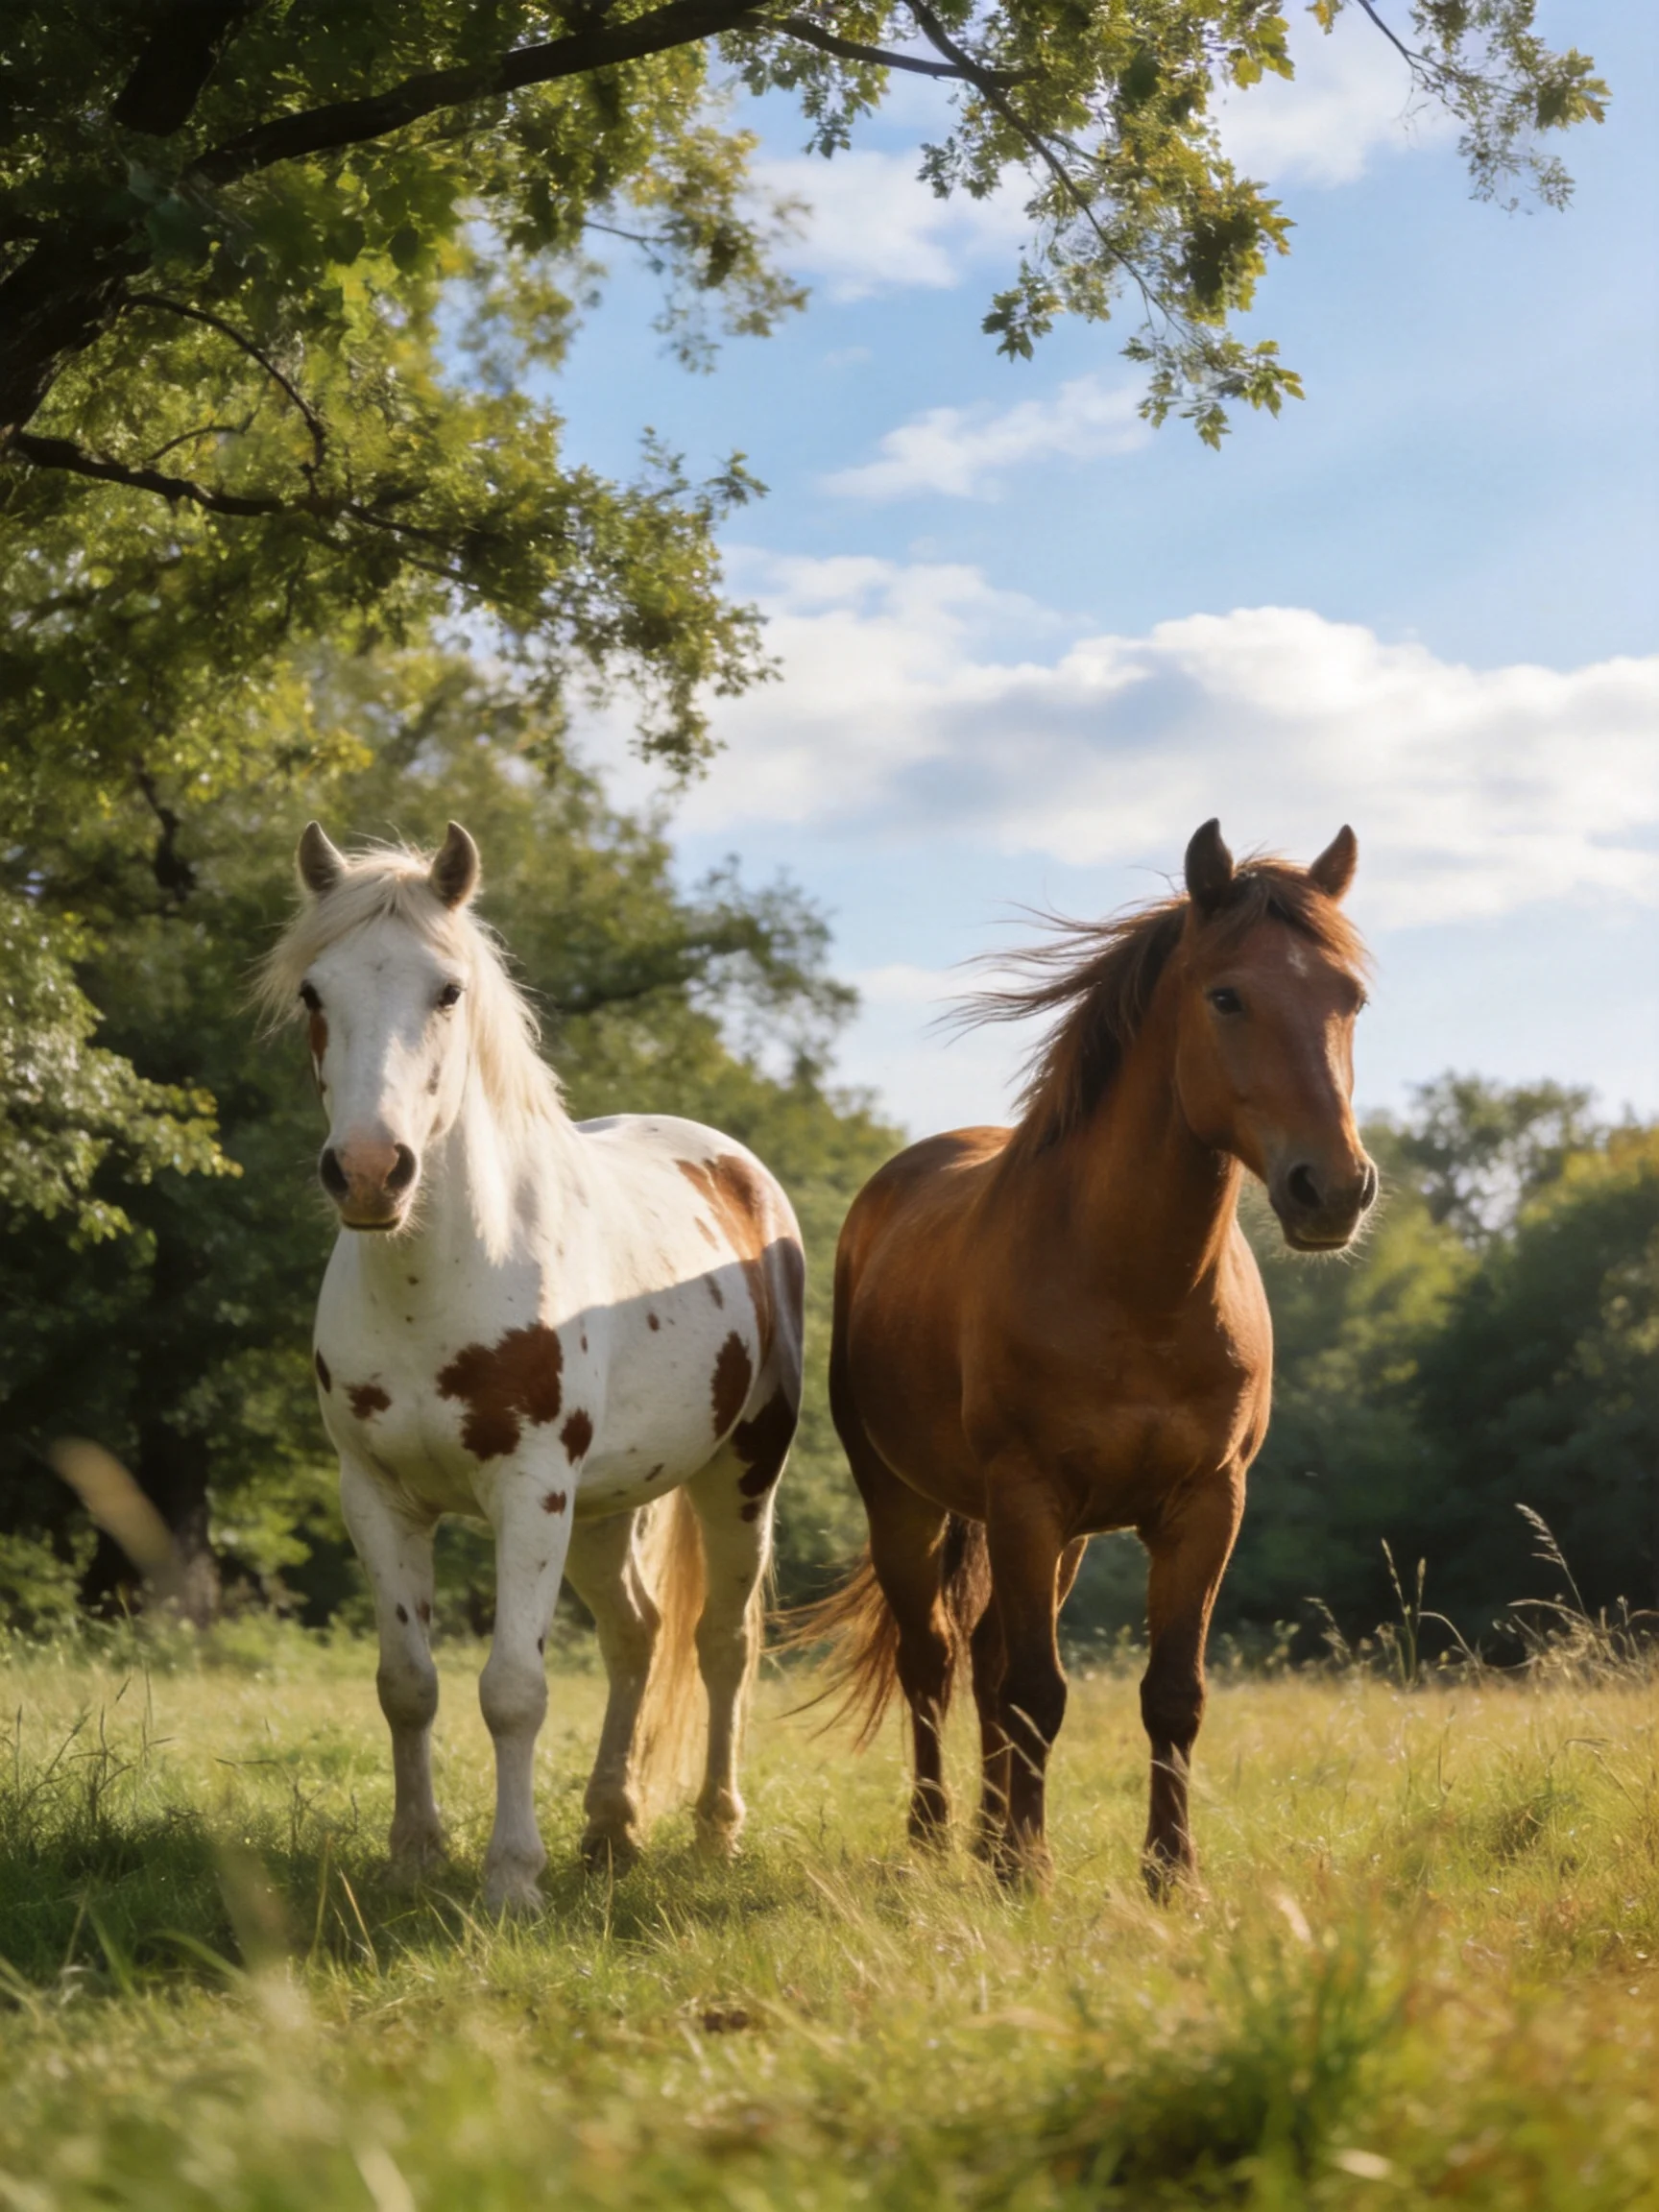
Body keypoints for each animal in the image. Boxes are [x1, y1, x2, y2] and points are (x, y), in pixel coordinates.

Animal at [258, 821, 804, 1913]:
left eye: (448, 990)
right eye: (314, 993)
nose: (370, 1171)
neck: (438, 1283)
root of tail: (738, 1170)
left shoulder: (530, 1491)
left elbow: (514, 1690)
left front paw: (511, 1879)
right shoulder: (376, 1497)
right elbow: (407, 1684)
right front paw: (415, 1854)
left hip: (738, 1479)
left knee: (721, 1644)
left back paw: (714, 1832)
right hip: (604, 1509)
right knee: (638, 1634)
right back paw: (611, 1827)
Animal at [804, 820, 1375, 1898]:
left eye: (1351, 997)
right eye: (1226, 996)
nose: (1332, 1189)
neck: (1137, 1288)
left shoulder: (1205, 1505)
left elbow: (1171, 1693)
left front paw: (1170, 1874)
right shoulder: (1028, 1494)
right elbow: (1038, 1687)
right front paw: (1029, 1872)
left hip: (1050, 1535)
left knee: (984, 1652)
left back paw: (987, 1836)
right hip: (907, 1498)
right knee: (933, 1656)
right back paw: (937, 1836)